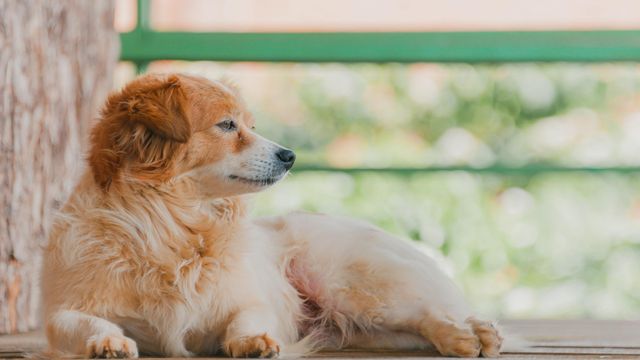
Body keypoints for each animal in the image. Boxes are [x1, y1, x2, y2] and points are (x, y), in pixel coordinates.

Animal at [42, 73, 502, 358]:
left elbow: (246, 320)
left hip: (355, 290)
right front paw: (108, 342)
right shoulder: (62, 312)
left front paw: (252, 341)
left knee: (427, 312)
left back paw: (466, 334)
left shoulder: (249, 301)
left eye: (250, 123)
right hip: (370, 328)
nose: (290, 155)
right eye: (227, 125)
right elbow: (84, 324)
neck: (171, 226)